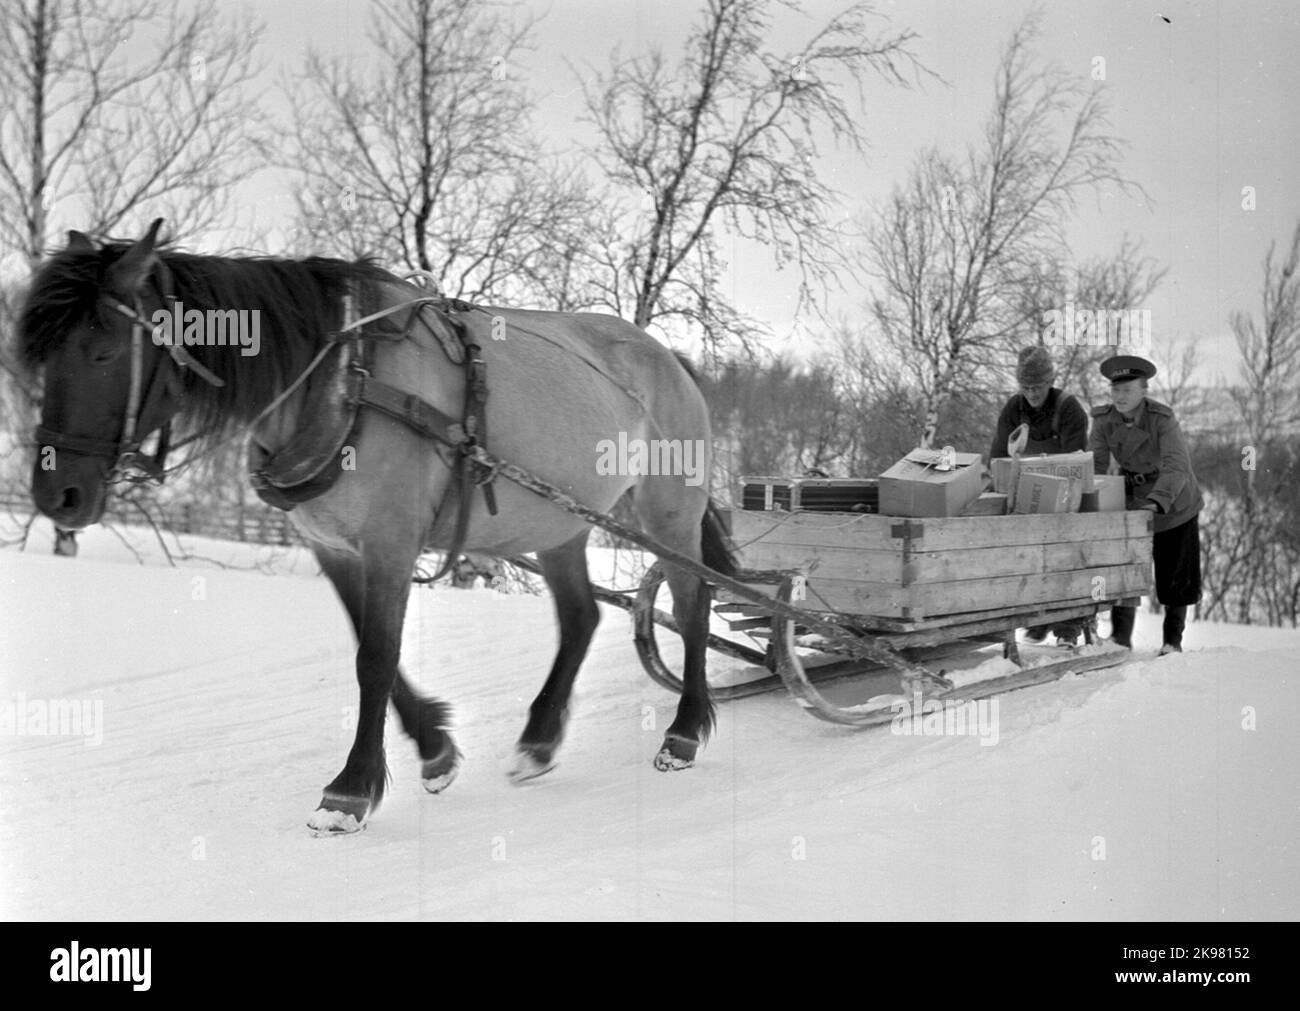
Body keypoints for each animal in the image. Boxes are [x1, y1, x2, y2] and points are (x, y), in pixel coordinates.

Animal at [20, 219, 735, 834]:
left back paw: (684, 732)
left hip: (668, 512)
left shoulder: (391, 543)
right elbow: (369, 644)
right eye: (45, 358)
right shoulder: (334, 546)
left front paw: (351, 789)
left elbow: (376, 658)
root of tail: (669, 358)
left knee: (692, 604)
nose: (58, 495)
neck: (341, 378)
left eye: (103, 351)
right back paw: (538, 741)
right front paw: (435, 748)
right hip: (557, 521)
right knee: (582, 616)